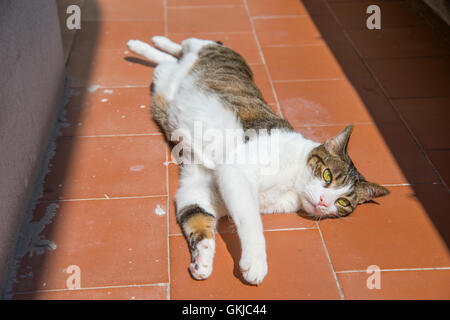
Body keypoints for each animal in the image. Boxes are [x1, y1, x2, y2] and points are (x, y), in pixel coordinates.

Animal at [127, 37, 390, 284]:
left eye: (343, 202)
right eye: (327, 176)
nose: (325, 202)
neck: (292, 185)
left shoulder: (198, 190)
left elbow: (198, 219)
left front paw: (202, 260)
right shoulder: (236, 172)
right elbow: (251, 220)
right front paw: (255, 262)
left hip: (166, 77)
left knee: (167, 62)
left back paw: (147, 49)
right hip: (207, 48)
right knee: (184, 46)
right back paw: (145, 43)